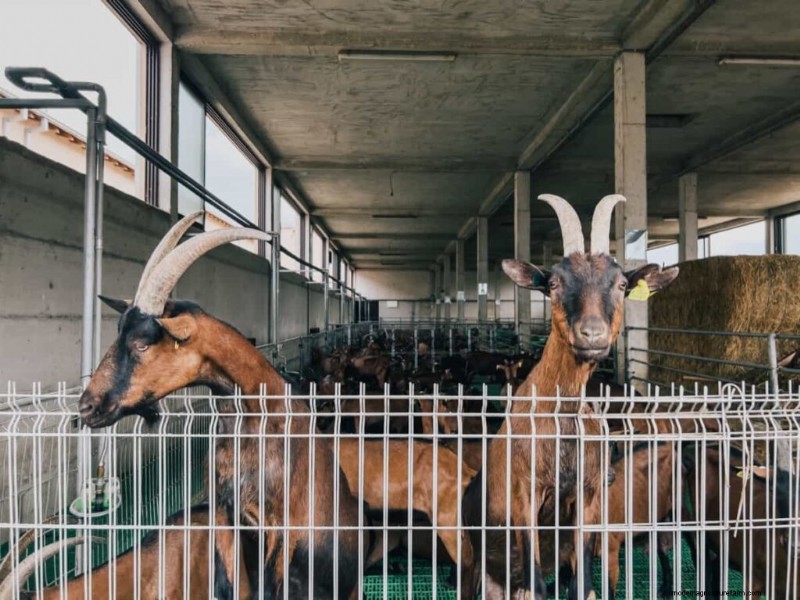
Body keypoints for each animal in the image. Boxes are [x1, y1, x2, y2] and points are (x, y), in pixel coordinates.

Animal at [461, 194, 679, 599]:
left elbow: (585, 584)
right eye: (554, 282)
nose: (591, 334)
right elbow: (537, 584)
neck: (560, 416)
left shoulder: (588, 495)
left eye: (622, 283)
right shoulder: (524, 495)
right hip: (473, 559)